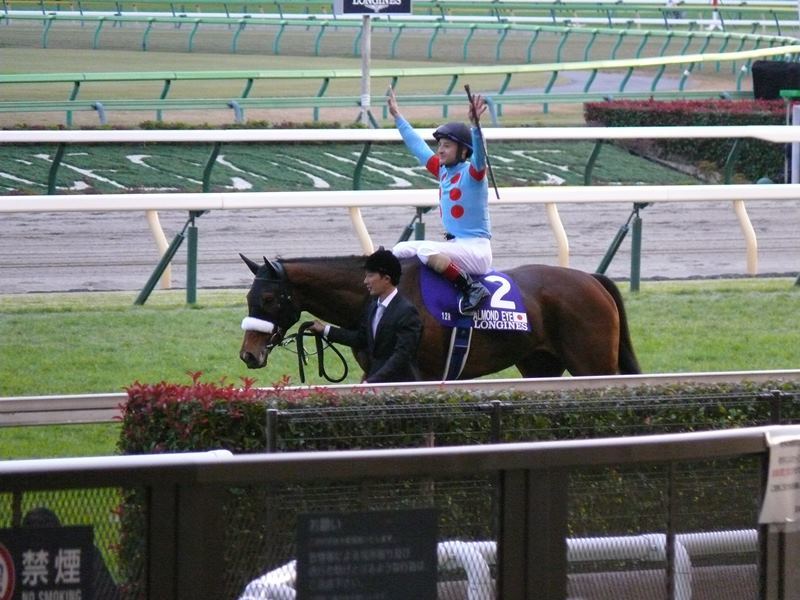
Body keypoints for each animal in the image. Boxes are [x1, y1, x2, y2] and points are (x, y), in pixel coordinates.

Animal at [239, 254, 640, 381]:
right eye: (248, 298)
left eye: (269, 298)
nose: (248, 354)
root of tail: (592, 279)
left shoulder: (415, 372)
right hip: (539, 365)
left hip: (593, 364)